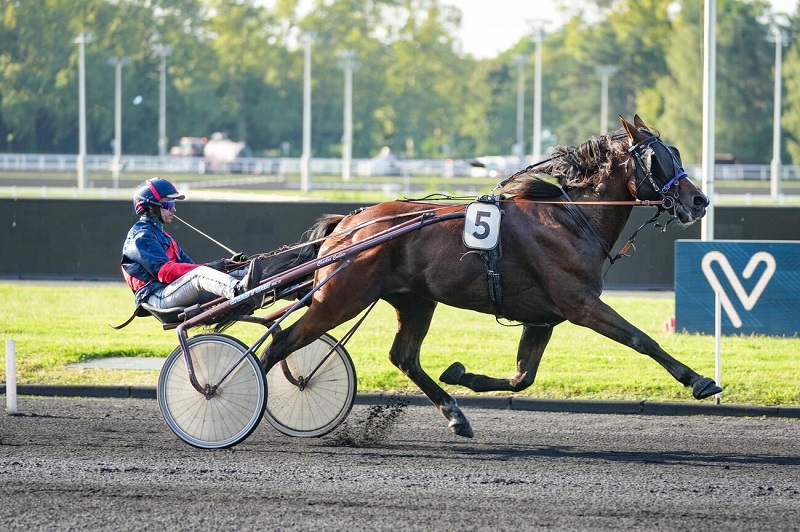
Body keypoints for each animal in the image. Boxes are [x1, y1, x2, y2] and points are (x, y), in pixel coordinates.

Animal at [260, 115, 720, 436]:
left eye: (674, 153)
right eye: (659, 160)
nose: (699, 200)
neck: (572, 219)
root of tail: (348, 224)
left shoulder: (543, 317)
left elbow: (522, 377)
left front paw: (463, 375)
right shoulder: (579, 303)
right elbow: (641, 339)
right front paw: (699, 380)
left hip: (415, 299)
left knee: (403, 356)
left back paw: (456, 415)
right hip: (341, 296)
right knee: (279, 343)